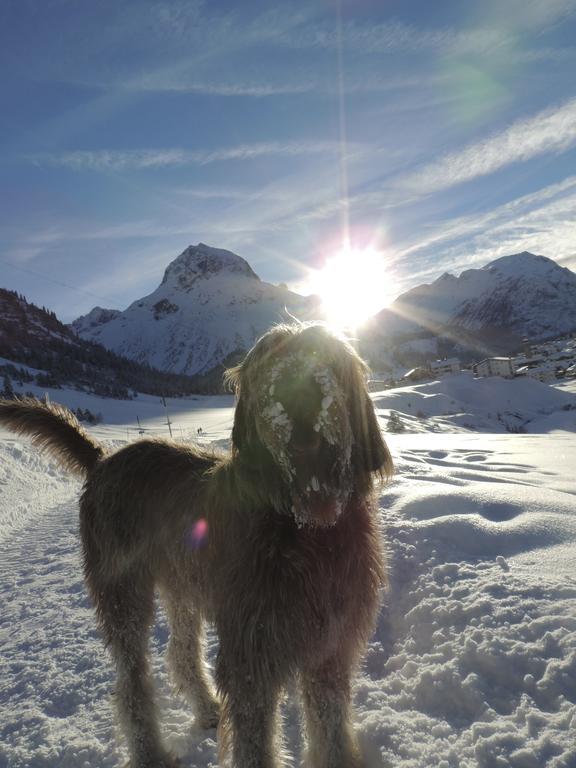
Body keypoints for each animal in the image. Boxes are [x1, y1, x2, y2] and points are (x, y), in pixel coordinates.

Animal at [0, 324, 392, 768]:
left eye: (326, 355)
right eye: (270, 360)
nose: (300, 393)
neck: (305, 530)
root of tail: (101, 460)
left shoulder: (331, 649)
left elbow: (332, 728)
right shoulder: (251, 657)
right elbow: (255, 744)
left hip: (182, 586)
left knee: (183, 654)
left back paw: (206, 710)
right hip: (122, 593)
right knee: (132, 683)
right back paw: (150, 752)